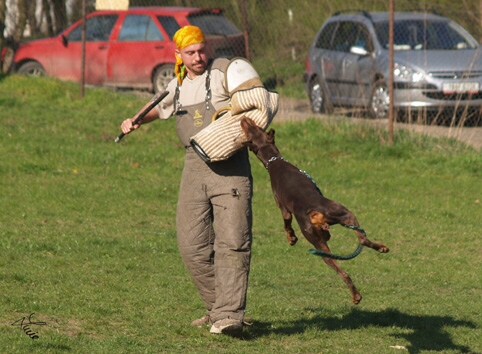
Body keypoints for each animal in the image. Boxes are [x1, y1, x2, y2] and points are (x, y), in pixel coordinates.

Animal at [239, 117, 390, 304]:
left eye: (253, 129)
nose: (243, 119)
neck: (274, 161)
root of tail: (313, 210)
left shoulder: (284, 209)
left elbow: (286, 224)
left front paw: (291, 238)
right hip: (343, 214)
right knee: (361, 241)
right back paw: (377, 254)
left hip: (320, 238)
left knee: (346, 266)